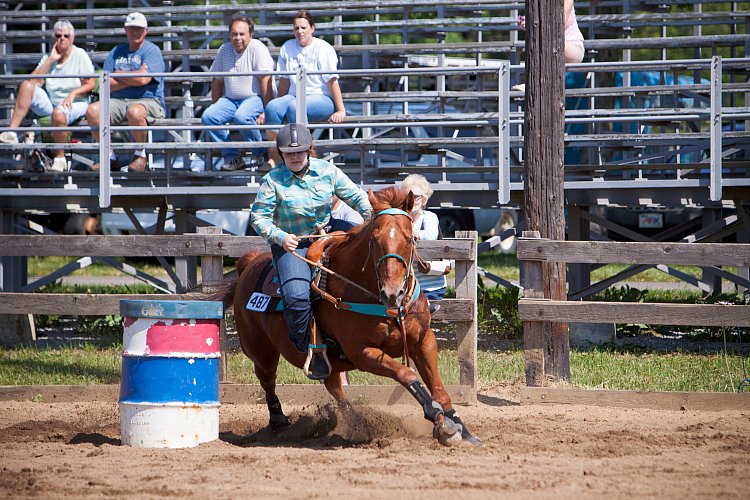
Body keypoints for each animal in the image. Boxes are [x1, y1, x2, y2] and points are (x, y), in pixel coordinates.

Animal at [220, 187, 482, 446]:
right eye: (375, 240)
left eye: (410, 239)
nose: (393, 293)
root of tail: (249, 263)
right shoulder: (362, 352)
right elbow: (407, 374)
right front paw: (441, 422)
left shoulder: (423, 340)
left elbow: (439, 388)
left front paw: (463, 429)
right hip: (260, 351)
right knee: (268, 380)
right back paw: (279, 421)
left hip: (328, 362)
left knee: (335, 388)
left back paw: (358, 425)